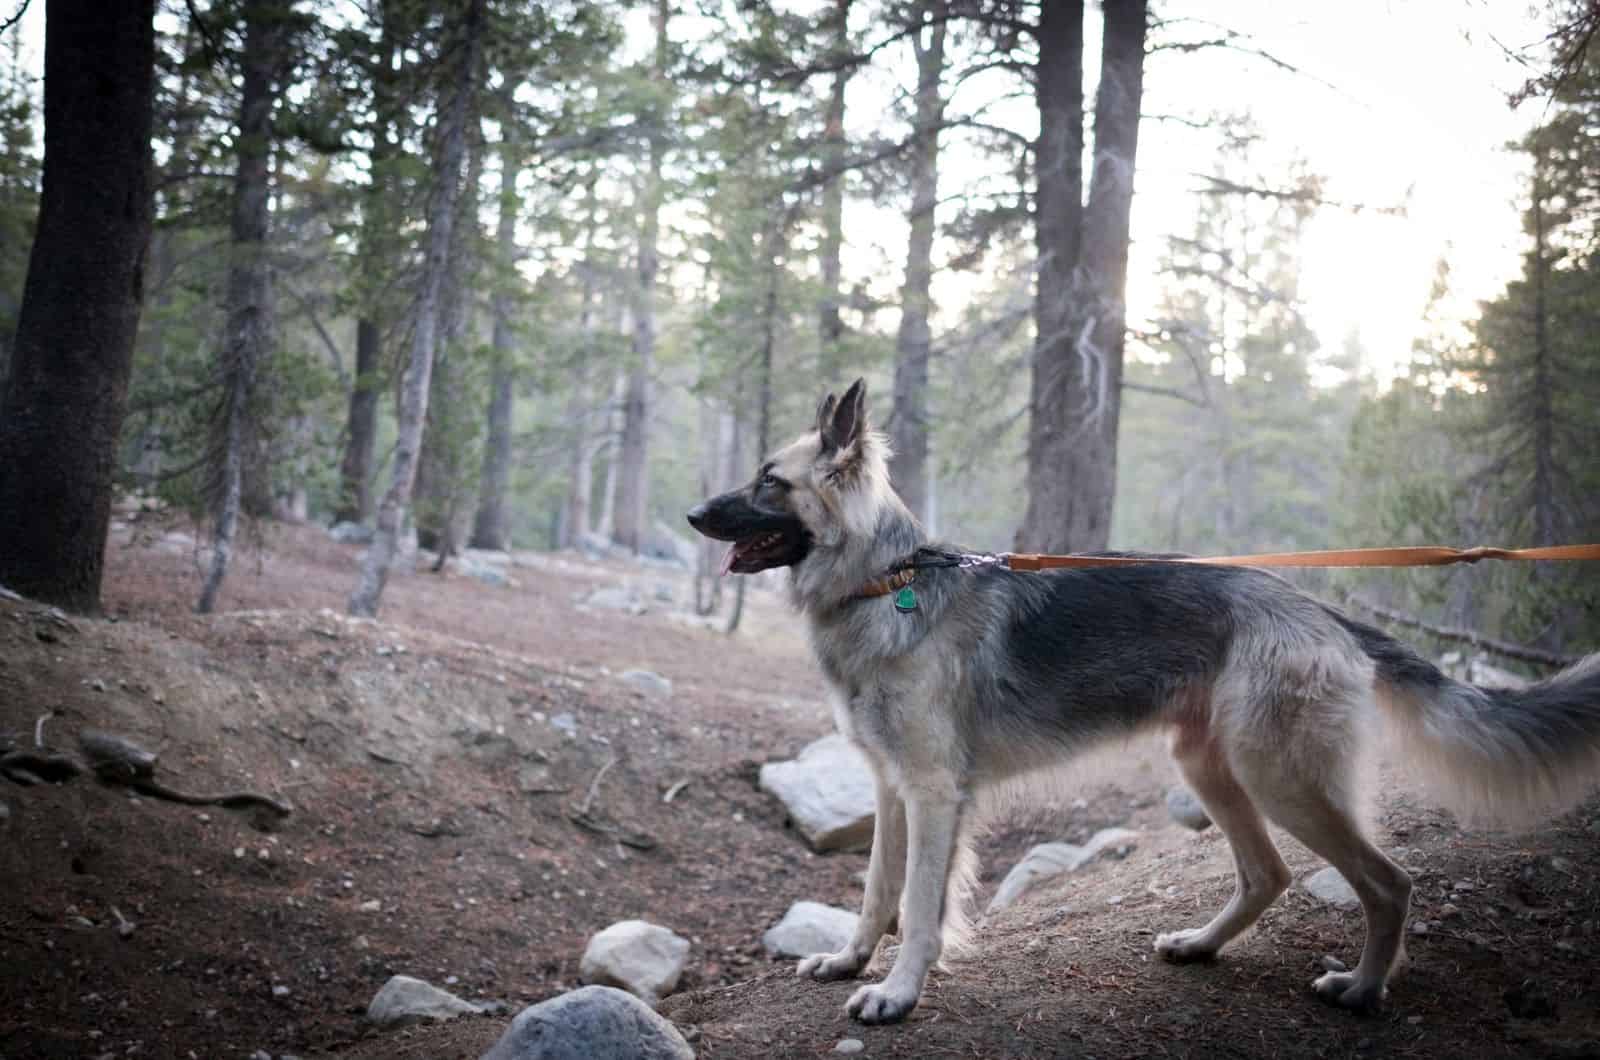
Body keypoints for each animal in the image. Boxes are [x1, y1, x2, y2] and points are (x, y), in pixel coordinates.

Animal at [684, 379, 1600, 1024]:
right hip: (1212, 769)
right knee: (1269, 874)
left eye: (769, 481)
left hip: (1282, 782)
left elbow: (917, 904)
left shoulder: (936, 795)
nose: (692, 513)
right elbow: (878, 889)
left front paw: (899, 992)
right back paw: (1201, 945)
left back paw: (1364, 989)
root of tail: (1319, 608)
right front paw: (850, 960)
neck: (888, 583)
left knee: (1390, 883)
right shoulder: (891, 790)